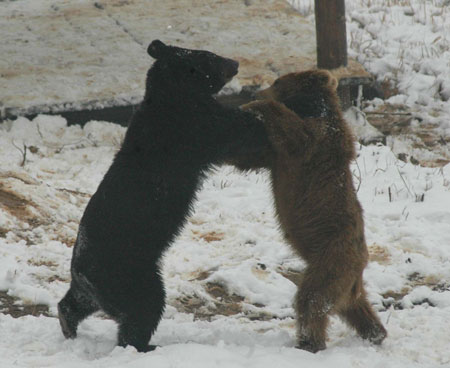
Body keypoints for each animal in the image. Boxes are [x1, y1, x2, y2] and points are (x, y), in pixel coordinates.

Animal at [59, 39, 270, 350]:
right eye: (210, 57)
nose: (235, 63)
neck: (173, 94)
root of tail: (81, 273)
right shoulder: (192, 126)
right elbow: (236, 129)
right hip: (129, 274)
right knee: (145, 306)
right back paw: (143, 345)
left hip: (96, 287)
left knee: (77, 303)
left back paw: (68, 323)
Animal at [230, 69, 388, 354]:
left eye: (278, 81)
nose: (257, 90)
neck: (312, 108)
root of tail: (362, 262)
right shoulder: (274, 157)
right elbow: (248, 158)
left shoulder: (315, 142)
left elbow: (296, 134)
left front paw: (253, 105)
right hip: (344, 277)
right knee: (355, 306)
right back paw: (375, 333)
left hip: (333, 256)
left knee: (312, 297)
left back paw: (308, 342)